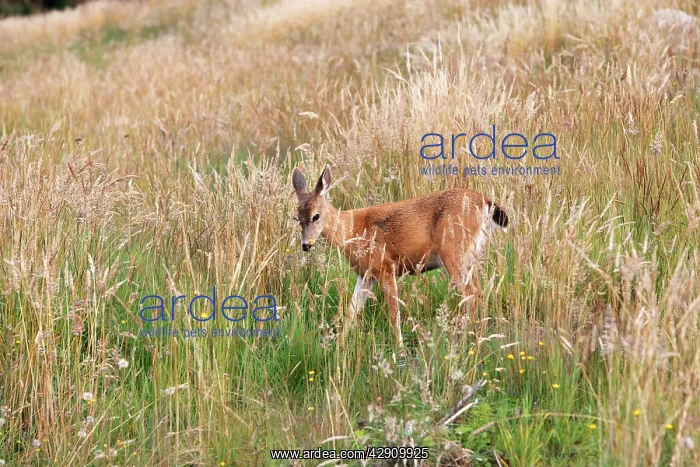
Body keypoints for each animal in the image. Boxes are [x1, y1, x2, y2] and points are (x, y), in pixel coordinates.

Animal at [292, 164, 508, 346]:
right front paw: (340, 345)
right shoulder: (366, 274)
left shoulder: (385, 266)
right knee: (480, 292)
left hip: (453, 252)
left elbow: (393, 312)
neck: (351, 230)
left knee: (470, 294)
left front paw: (400, 348)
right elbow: (351, 310)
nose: (305, 245)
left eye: (316, 216)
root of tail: (486, 203)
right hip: (471, 256)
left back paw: (465, 341)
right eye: (296, 218)